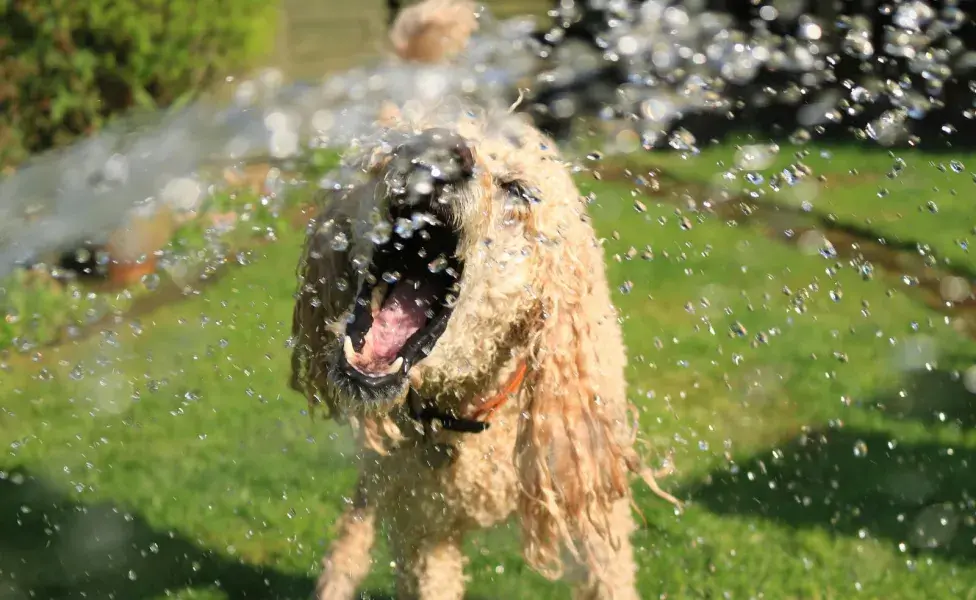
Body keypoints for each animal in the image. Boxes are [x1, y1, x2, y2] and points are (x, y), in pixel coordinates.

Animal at [286, 97, 676, 596]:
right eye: (394, 146)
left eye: (519, 190)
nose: (440, 152)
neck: (472, 408)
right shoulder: (421, 524)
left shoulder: (592, 496)